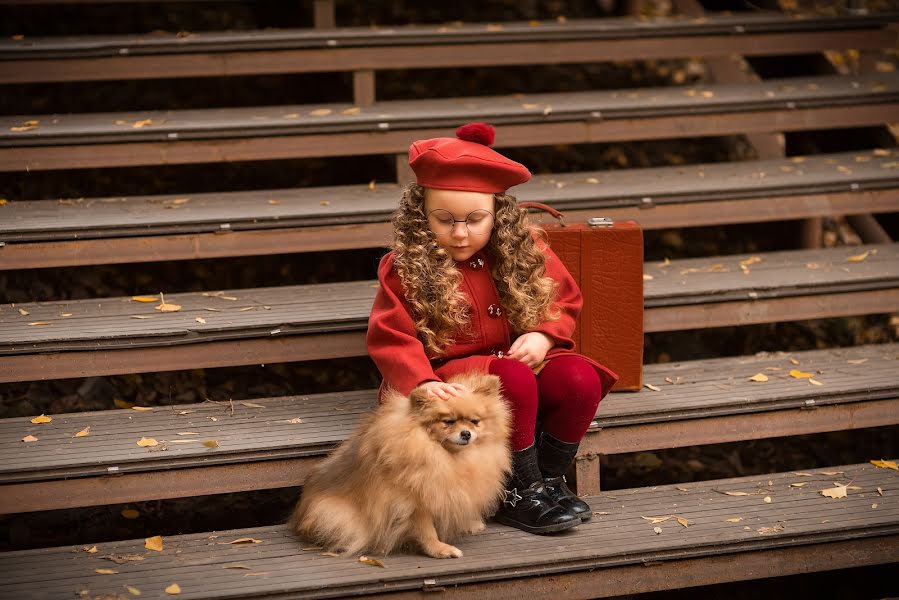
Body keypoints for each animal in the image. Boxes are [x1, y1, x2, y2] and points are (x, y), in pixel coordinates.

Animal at [290, 372, 510, 560]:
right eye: (447, 422)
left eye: (475, 422)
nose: (466, 433)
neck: (445, 457)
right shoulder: (414, 502)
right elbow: (426, 530)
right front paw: (439, 549)